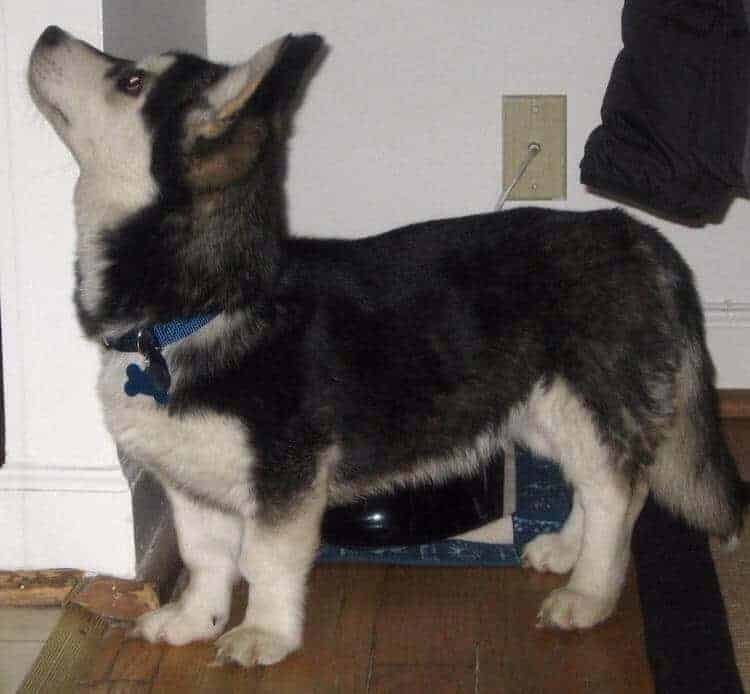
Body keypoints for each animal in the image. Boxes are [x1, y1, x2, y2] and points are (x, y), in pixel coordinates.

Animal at [27, 27, 748, 668]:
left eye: (131, 81)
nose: (49, 29)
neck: (187, 312)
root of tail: (640, 235)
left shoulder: (285, 480)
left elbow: (264, 560)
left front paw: (265, 633)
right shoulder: (191, 482)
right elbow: (205, 559)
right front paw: (193, 620)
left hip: (585, 405)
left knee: (619, 496)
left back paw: (589, 594)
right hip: (543, 412)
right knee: (596, 490)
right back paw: (567, 552)